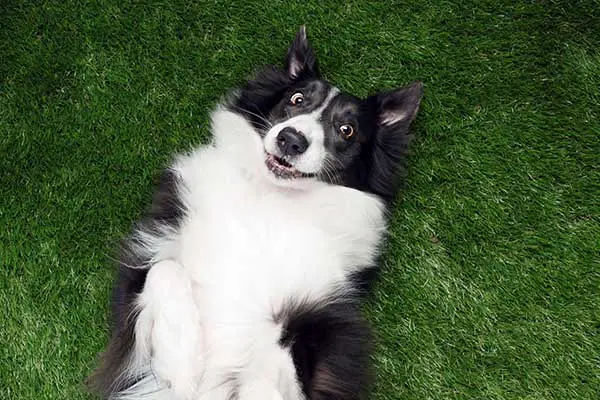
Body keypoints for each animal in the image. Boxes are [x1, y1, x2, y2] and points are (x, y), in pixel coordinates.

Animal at [90, 27, 422, 400]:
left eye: (346, 129)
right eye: (297, 99)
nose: (291, 139)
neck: (270, 195)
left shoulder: (321, 320)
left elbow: (281, 353)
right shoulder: (146, 253)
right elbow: (164, 269)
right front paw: (179, 363)